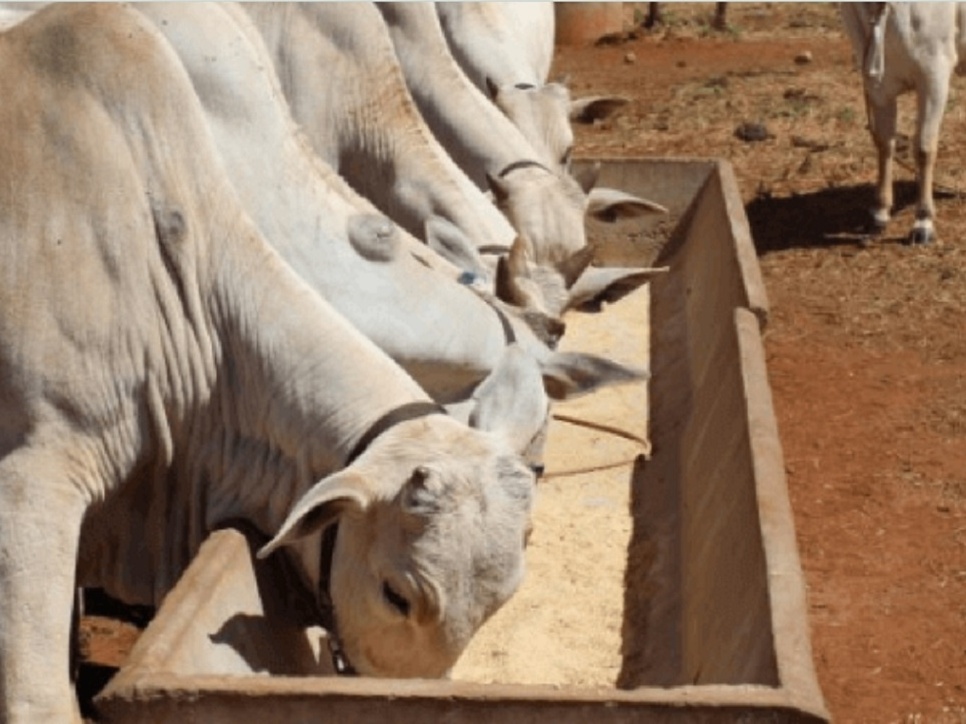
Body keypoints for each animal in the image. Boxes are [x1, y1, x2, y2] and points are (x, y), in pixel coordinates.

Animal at [840, 0, 966, 246]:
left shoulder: (934, 74)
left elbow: (924, 148)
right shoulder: (877, 83)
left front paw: (923, 222)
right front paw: (880, 213)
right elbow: (884, 145)